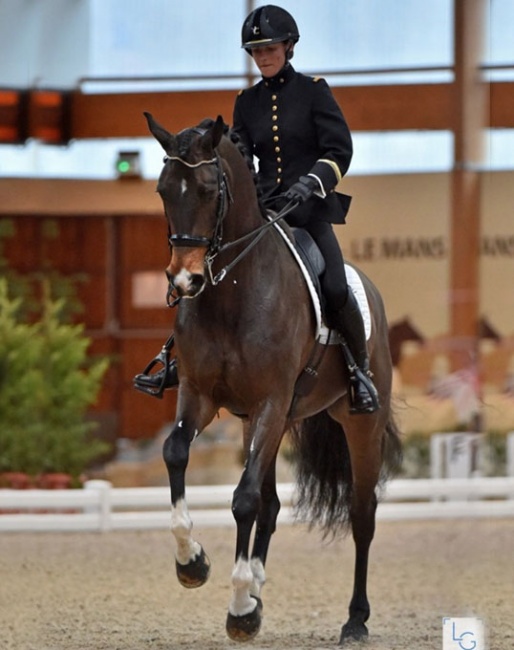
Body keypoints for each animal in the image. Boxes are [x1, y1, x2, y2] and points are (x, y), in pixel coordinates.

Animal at [142, 111, 402, 644]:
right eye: (162, 190)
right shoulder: (201, 396)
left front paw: (239, 608)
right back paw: (257, 590)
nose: (184, 282)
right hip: (265, 421)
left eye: (207, 190)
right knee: (273, 503)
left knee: (361, 515)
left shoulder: (269, 402)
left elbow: (243, 499)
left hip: (355, 423)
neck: (231, 293)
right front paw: (193, 563)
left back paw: (355, 620)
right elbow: (176, 453)